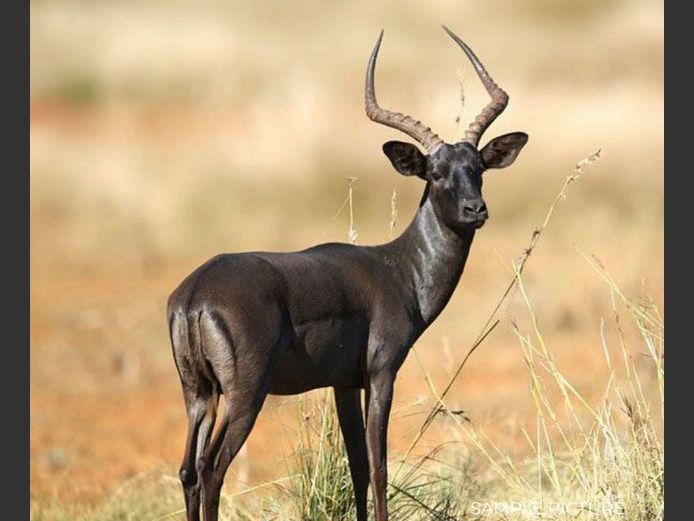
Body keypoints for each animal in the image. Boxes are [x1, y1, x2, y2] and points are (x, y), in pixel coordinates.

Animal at [168, 26, 528, 521]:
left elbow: (357, 465)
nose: (476, 210)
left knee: (187, 469)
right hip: (244, 395)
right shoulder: (381, 374)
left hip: (198, 393)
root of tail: (195, 295)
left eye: (477, 168)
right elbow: (378, 466)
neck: (400, 271)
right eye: (435, 173)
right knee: (211, 467)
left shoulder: (341, 383)